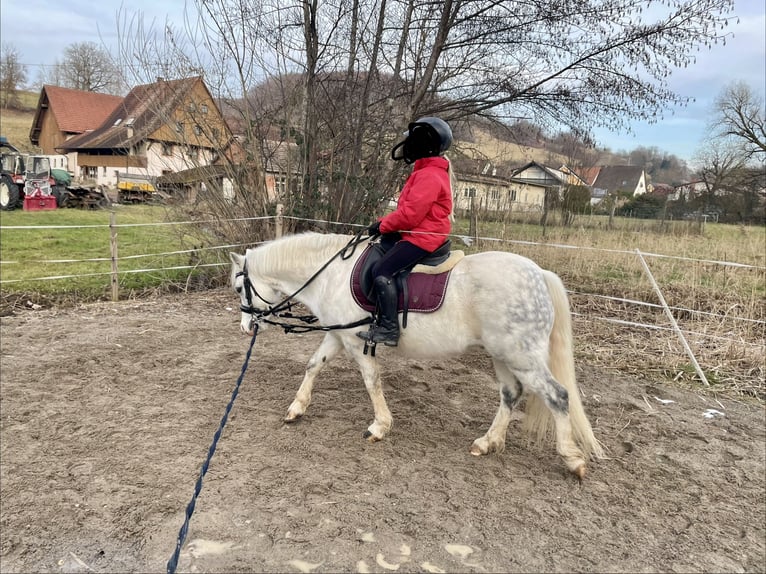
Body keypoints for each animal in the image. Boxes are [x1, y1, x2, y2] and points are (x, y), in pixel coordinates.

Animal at [229, 232, 604, 479]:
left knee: (558, 396)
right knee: (511, 394)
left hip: (521, 357)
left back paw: (572, 460)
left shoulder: (352, 340)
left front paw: (380, 426)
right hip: (503, 355)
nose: (246, 326)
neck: (330, 275)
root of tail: (539, 274)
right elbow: (312, 366)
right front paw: (296, 409)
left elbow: (371, 380)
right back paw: (488, 442)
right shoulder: (338, 335)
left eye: (237, 287)